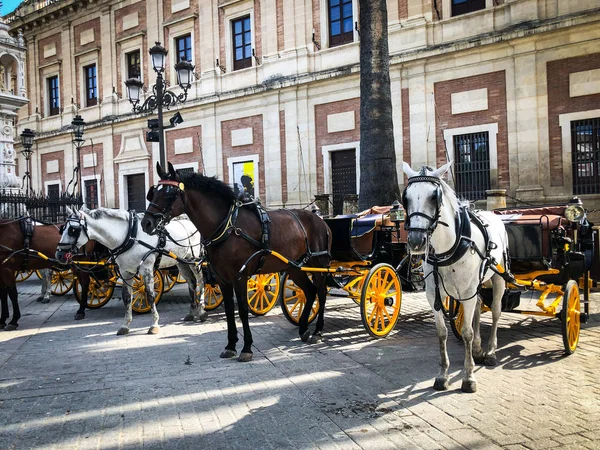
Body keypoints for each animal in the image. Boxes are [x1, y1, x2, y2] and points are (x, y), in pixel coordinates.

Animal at [56, 207, 206, 334]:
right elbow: (127, 298)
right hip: (181, 262)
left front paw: (154, 324)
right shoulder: (126, 272)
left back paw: (202, 310)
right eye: (62, 229)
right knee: (192, 283)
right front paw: (125, 325)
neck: (129, 236)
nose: (59, 255)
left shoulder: (146, 269)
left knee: (201, 281)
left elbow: (150, 295)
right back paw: (192, 312)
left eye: (72, 230)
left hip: (195, 259)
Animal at [143, 162, 332, 362]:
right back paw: (303, 328)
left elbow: (242, 310)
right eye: (153, 193)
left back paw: (317, 331)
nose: (146, 223)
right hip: (294, 267)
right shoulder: (222, 279)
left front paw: (246, 348)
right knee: (309, 291)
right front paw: (231, 345)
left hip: (319, 265)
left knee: (321, 292)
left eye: (169, 194)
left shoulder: (240, 277)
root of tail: (320, 220)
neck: (227, 227)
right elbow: (228, 311)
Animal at [404, 162, 506, 394]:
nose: (416, 241)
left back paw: (491, 352)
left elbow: (466, 331)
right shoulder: (433, 294)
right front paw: (443, 375)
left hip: (499, 278)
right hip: (476, 285)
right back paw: (477, 348)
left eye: (434, 197)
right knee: (478, 306)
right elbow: (442, 333)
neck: (448, 247)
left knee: (496, 311)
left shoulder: (467, 292)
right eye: (406, 198)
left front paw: (468, 377)